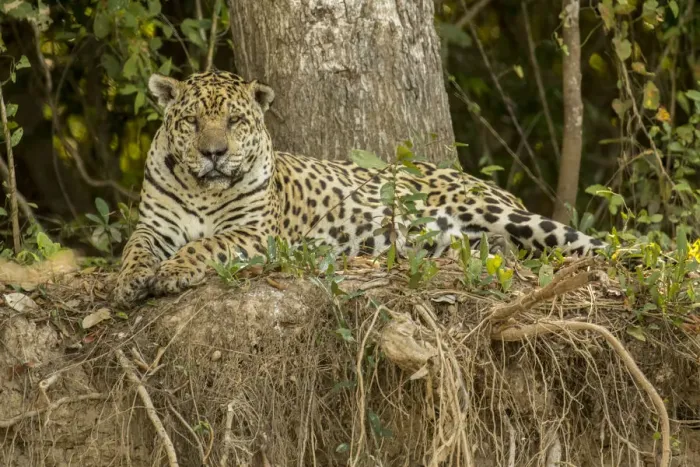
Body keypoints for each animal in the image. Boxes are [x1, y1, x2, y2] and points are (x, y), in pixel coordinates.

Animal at [112, 70, 606, 306]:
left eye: (234, 121)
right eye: (192, 121)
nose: (214, 153)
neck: (203, 189)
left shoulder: (253, 232)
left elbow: (207, 244)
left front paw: (174, 271)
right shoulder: (154, 227)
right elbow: (133, 248)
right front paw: (131, 280)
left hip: (500, 212)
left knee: (589, 243)